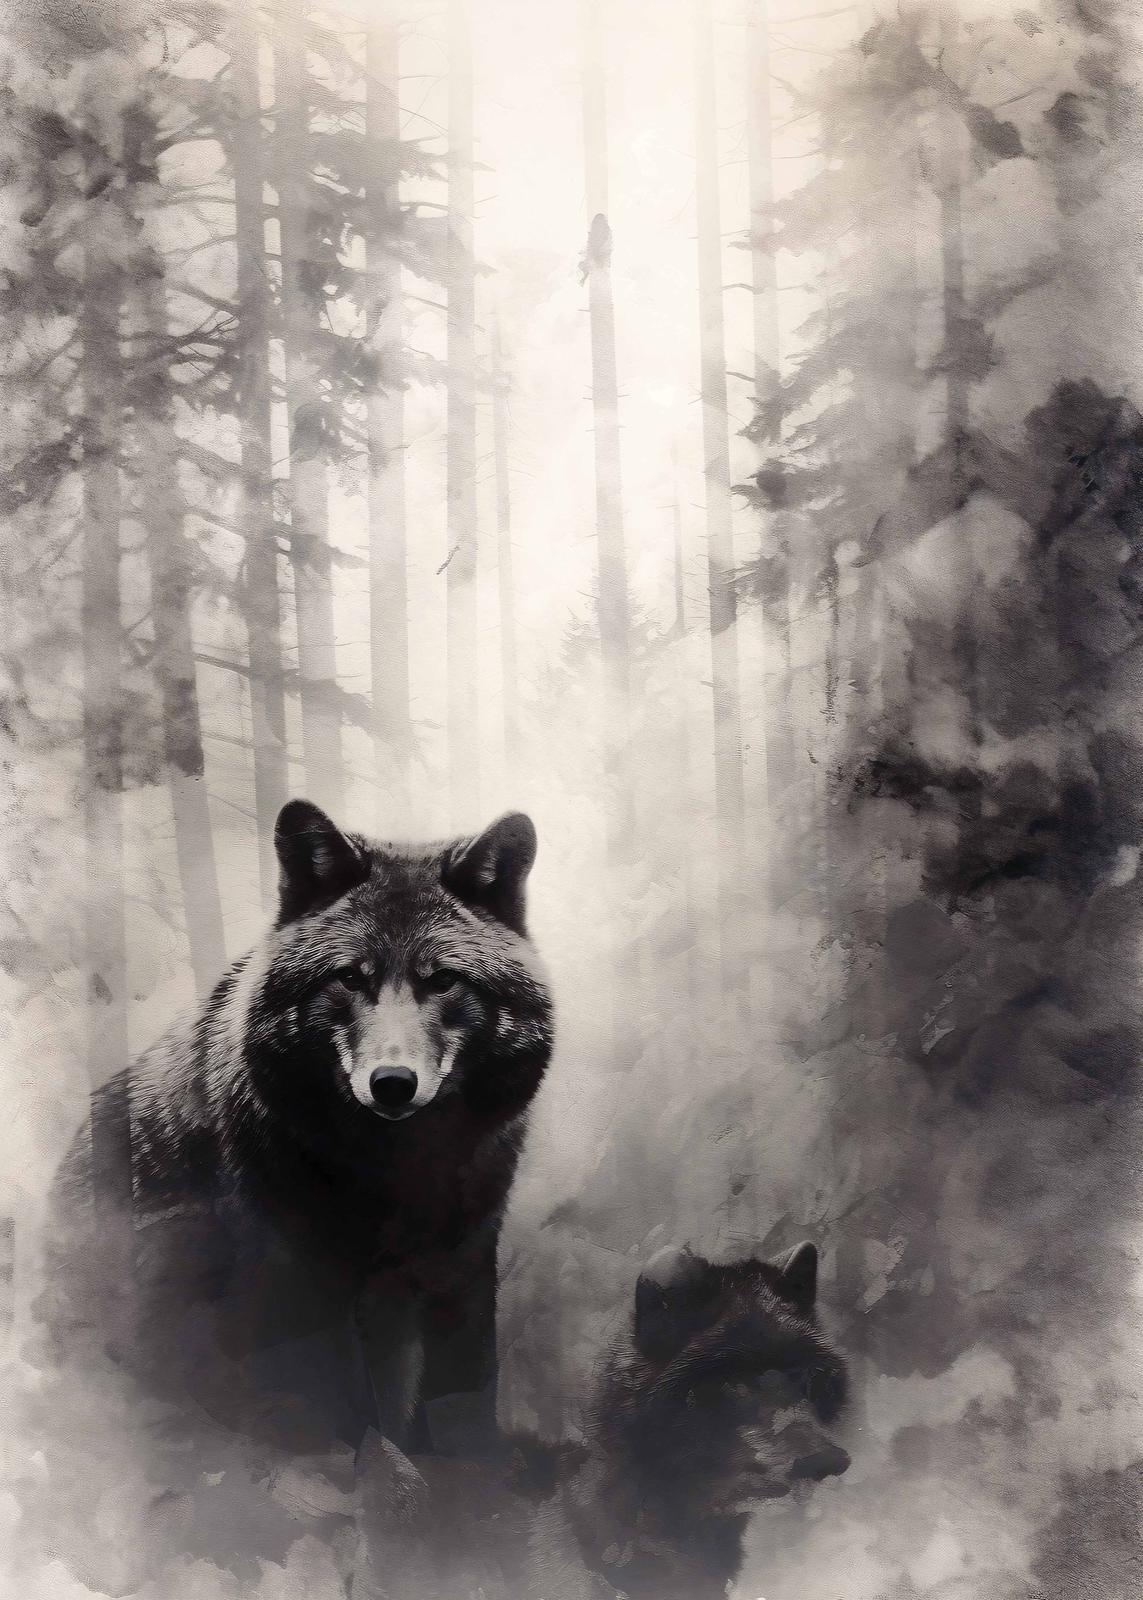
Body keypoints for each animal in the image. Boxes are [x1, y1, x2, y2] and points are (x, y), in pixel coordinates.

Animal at [38, 799, 555, 1468]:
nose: (393, 1083)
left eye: (442, 980)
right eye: (351, 979)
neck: (393, 1179)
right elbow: (318, 1421)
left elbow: (456, 1407)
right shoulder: (295, 1291)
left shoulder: (458, 1273)